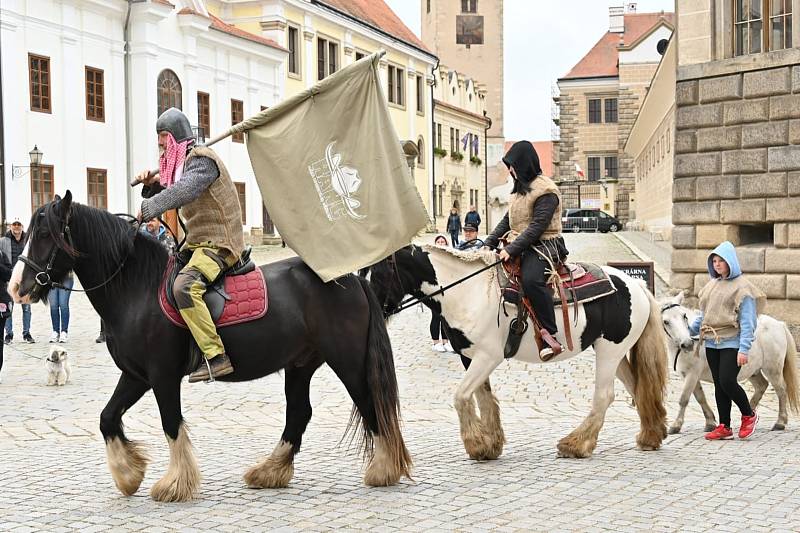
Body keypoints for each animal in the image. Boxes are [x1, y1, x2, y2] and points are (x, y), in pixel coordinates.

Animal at [10, 193, 412, 500]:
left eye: (44, 233)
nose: (16, 287)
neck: (137, 288)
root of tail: (351, 278)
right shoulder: (136, 376)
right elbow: (108, 417)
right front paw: (128, 474)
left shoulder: (162, 376)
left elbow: (171, 423)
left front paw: (174, 484)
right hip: (300, 365)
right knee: (300, 413)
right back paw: (269, 471)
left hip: (347, 361)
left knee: (370, 405)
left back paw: (384, 469)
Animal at [368, 244, 668, 458]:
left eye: (379, 273)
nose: (373, 310)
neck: (467, 291)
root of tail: (637, 285)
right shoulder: (470, 356)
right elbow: (484, 398)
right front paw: (491, 444)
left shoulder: (488, 356)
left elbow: (461, 396)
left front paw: (476, 444)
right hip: (614, 352)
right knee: (637, 388)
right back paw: (650, 435)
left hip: (609, 352)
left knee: (605, 395)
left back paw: (576, 444)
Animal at [660, 290, 796, 432]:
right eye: (666, 321)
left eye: (684, 316)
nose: (687, 344)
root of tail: (779, 324)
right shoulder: (688, 375)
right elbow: (700, 397)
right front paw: (710, 422)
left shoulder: (692, 374)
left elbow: (684, 399)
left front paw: (676, 425)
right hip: (752, 370)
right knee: (762, 385)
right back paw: (749, 415)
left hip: (773, 369)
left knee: (781, 390)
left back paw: (780, 422)